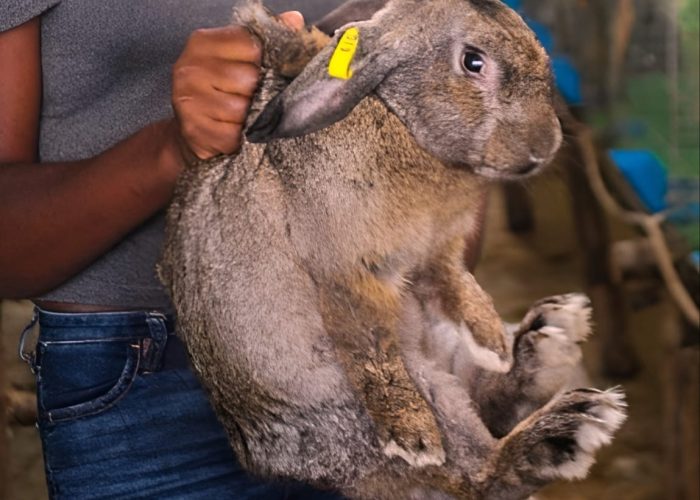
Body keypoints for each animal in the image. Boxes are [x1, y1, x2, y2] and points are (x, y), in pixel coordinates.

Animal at [159, 1, 626, 498]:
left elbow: (459, 285)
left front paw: (493, 342)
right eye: (473, 62)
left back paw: (541, 343)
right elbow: (373, 352)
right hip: (406, 395)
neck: (395, 118)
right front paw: (412, 435)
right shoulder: (350, 273)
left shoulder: (440, 251)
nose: (544, 148)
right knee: (477, 475)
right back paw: (562, 428)